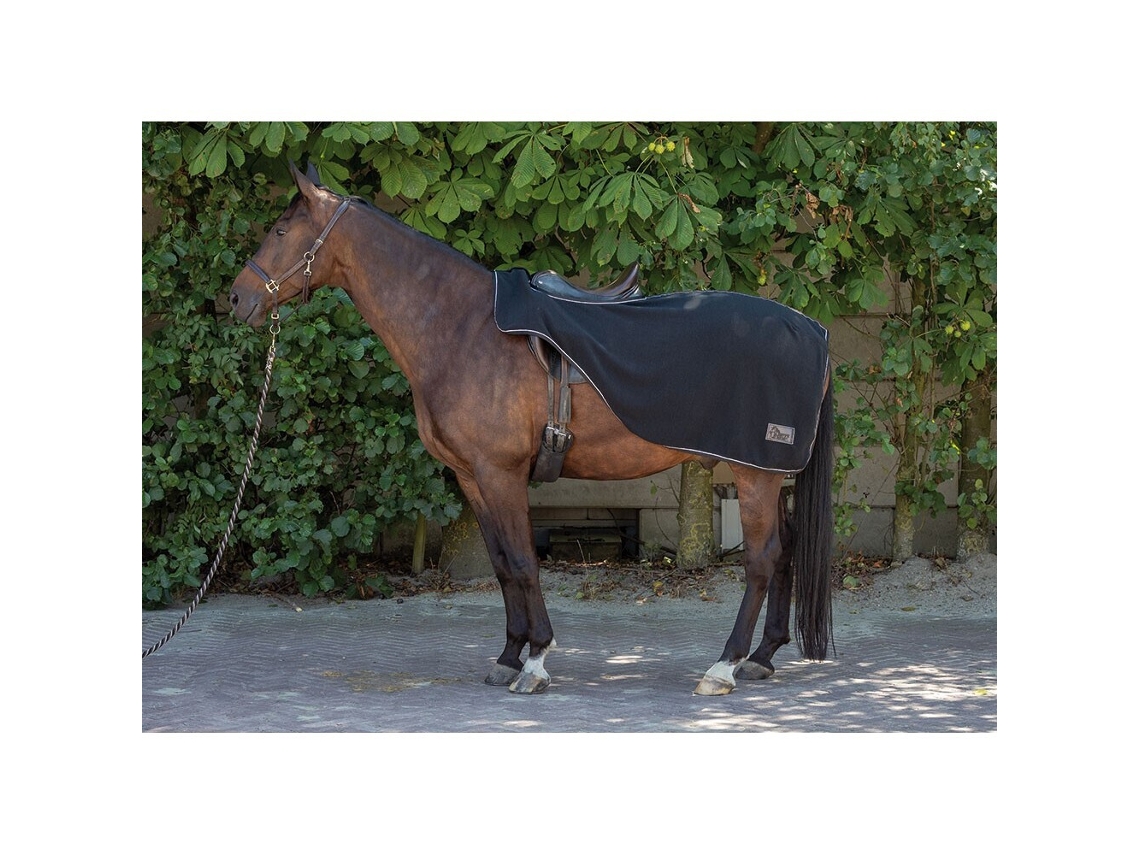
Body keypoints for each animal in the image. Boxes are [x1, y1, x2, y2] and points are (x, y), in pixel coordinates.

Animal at [229, 163, 834, 696]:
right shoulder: (472, 477)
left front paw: (536, 660)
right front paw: (507, 656)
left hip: (754, 474)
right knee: (785, 549)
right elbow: (502, 566)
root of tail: (811, 328)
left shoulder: (501, 473)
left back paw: (724, 666)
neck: (461, 328)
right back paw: (762, 657)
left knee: (761, 558)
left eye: (281, 230)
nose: (237, 298)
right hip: (765, 475)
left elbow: (523, 562)